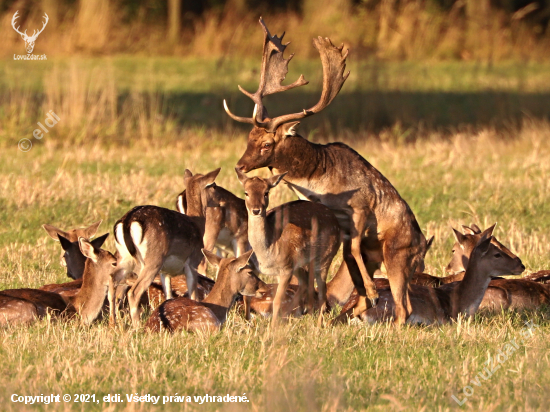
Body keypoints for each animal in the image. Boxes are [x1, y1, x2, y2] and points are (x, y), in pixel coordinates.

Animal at [238, 167, 342, 326]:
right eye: (246, 192)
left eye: (266, 192)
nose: (256, 210)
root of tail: (336, 221)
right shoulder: (253, 267)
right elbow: (246, 296)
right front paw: (248, 322)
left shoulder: (285, 269)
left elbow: (276, 301)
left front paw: (272, 329)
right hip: (299, 263)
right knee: (305, 282)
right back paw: (289, 317)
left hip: (325, 257)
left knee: (322, 293)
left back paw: (317, 327)